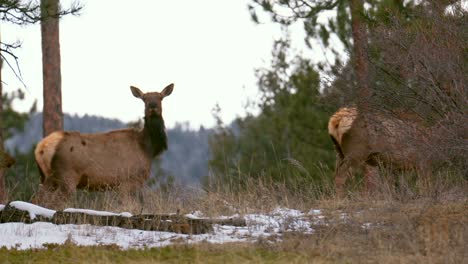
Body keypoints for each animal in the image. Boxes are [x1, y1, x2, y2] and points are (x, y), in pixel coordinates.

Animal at [33, 83, 175, 207]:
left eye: (160, 97)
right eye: (144, 99)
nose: (153, 106)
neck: (147, 148)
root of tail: (41, 148)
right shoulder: (128, 181)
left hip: (46, 177)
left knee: (38, 199)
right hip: (67, 177)